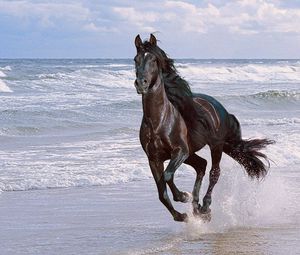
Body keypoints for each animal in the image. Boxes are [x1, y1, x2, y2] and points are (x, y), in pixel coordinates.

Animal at [134, 33, 274, 221]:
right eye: (136, 59)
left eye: (154, 60)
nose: (141, 83)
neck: (159, 122)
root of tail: (220, 108)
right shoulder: (154, 159)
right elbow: (161, 193)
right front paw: (182, 216)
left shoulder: (180, 151)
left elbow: (168, 176)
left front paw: (183, 196)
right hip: (193, 153)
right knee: (201, 165)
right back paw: (196, 207)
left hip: (215, 146)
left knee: (214, 172)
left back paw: (205, 207)